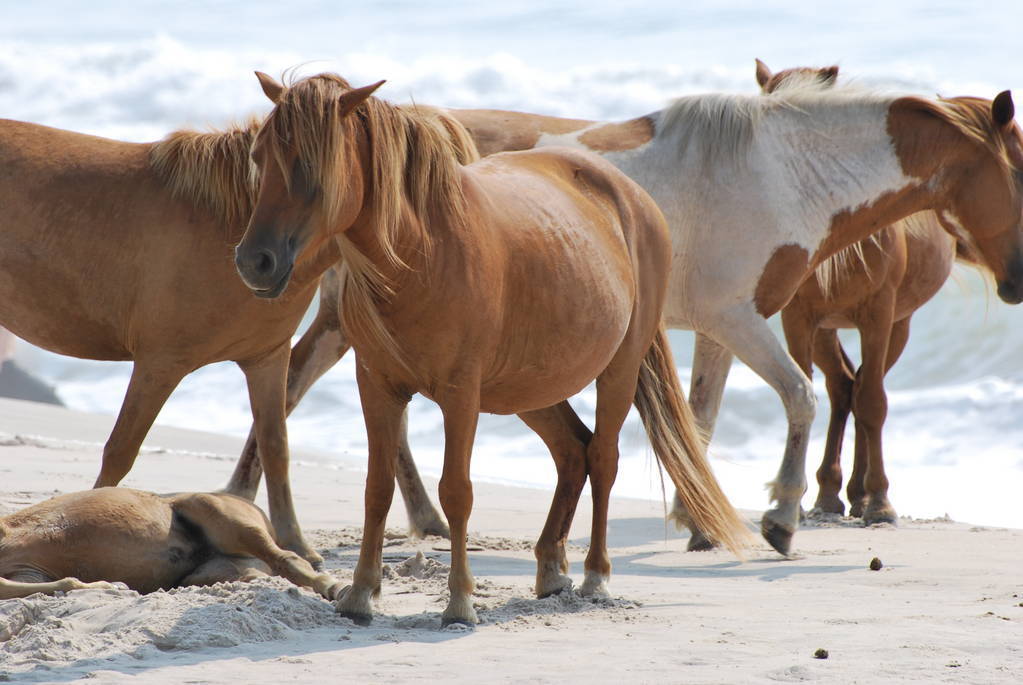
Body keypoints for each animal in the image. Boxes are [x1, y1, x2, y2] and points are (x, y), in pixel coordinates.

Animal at [0, 488, 343, 601]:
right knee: (269, 573)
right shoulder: (30, 571)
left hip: (214, 511)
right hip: (214, 572)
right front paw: (103, 586)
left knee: (288, 558)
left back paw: (335, 588)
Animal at [232, 73, 748, 629]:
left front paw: (459, 602)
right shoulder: (377, 385)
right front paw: (361, 594)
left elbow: (456, 491)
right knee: (573, 452)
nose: (254, 261)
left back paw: (595, 576)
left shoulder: (461, 394)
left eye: (309, 168)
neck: (421, 254)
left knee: (603, 458)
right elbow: (376, 488)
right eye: (259, 156)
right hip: (530, 388)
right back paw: (551, 569)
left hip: (618, 370)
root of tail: (632, 196)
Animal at [235, 72, 1023, 556]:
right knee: (292, 382)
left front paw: (699, 518)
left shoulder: (719, 328)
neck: (780, 171)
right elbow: (800, 398)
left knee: (307, 384)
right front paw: (778, 516)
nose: (1017, 280)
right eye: (1019, 173)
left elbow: (700, 419)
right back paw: (256, 510)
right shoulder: (736, 319)